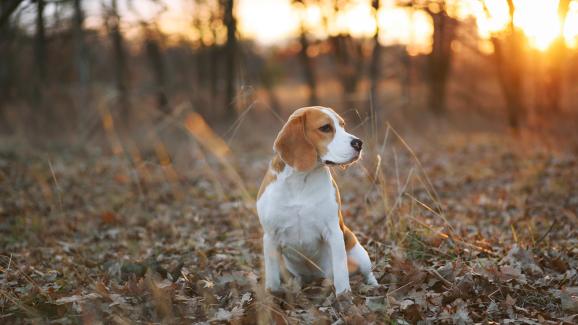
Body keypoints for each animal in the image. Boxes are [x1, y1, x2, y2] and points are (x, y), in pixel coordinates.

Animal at [258, 105, 378, 294]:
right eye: (325, 128)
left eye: (343, 125)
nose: (359, 143)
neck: (301, 180)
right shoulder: (270, 237)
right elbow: (272, 280)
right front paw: (273, 297)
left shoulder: (334, 232)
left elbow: (342, 274)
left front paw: (344, 297)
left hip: (360, 255)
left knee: (367, 273)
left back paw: (373, 285)